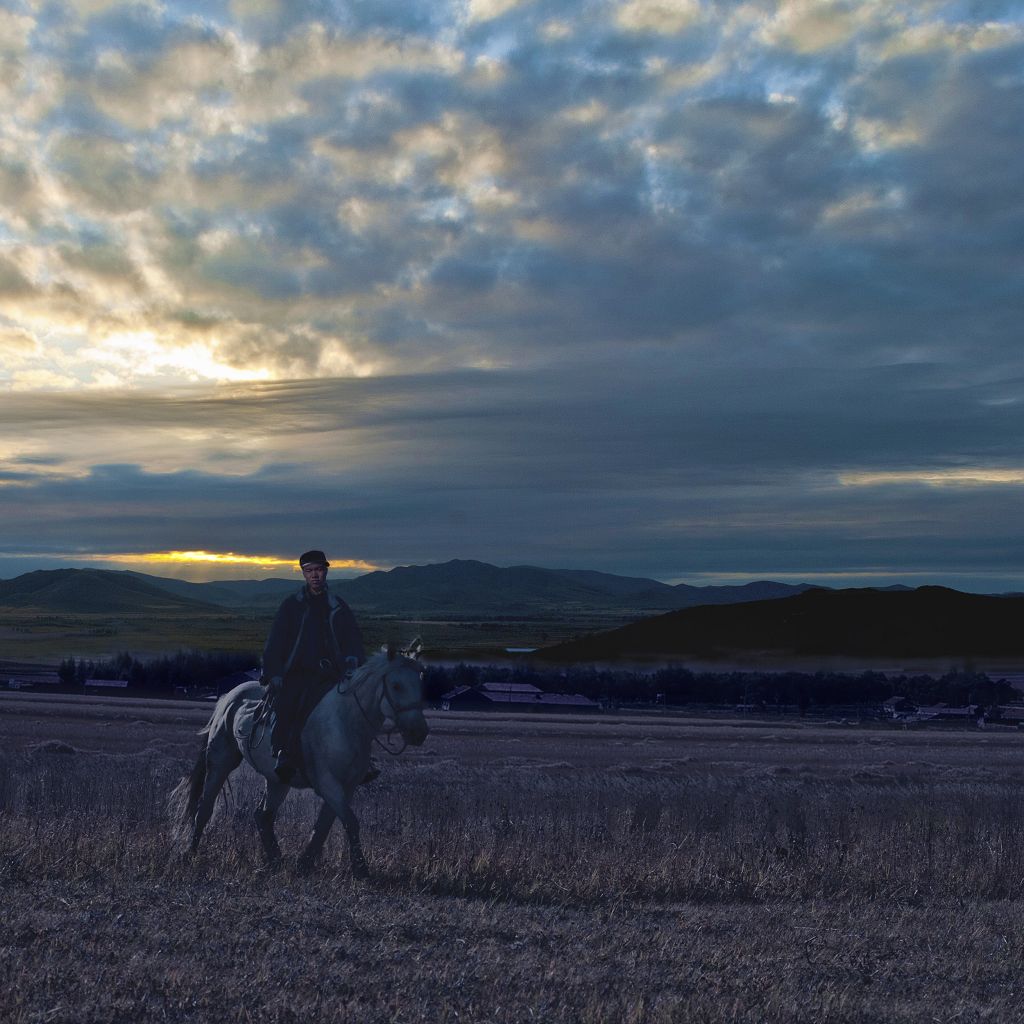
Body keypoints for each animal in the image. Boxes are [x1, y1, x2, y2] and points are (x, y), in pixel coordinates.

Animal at [169, 643, 425, 876]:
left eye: (420, 681)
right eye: (397, 685)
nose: (419, 732)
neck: (346, 722)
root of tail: (229, 696)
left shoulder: (347, 786)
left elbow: (324, 825)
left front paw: (305, 863)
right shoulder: (328, 783)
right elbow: (350, 822)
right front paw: (361, 868)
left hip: (277, 780)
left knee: (263, 815)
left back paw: (276, 860)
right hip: (221, 761)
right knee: (204, 808)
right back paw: (190, 853)